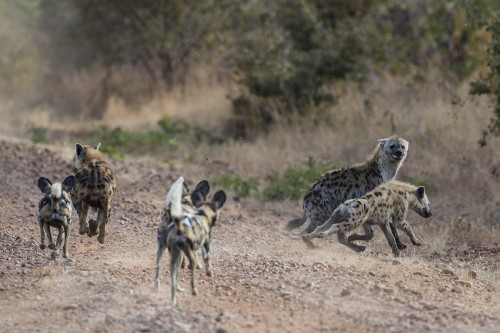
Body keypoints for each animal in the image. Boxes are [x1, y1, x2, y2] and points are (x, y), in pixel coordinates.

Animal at [156, 176, 227, 304]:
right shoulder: (204, 244)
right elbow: (205, 259)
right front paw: (205, 270)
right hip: (178, 254)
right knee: (177, 275)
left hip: (162, 249)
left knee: (160, 270)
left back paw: (158, 289)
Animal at [302, 180, 432, 255]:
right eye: (428, 204)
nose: (430, 214)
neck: (405, 194)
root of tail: (347, 204)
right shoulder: (398, 215)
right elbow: (407, 227)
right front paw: (416, 242)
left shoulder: (383, 221)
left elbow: (390, 238)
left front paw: (397, 254)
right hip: (354, 220)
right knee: (336, 227)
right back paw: (320, 236)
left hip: (338, 215)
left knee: (322, 227)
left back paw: (307, 237)